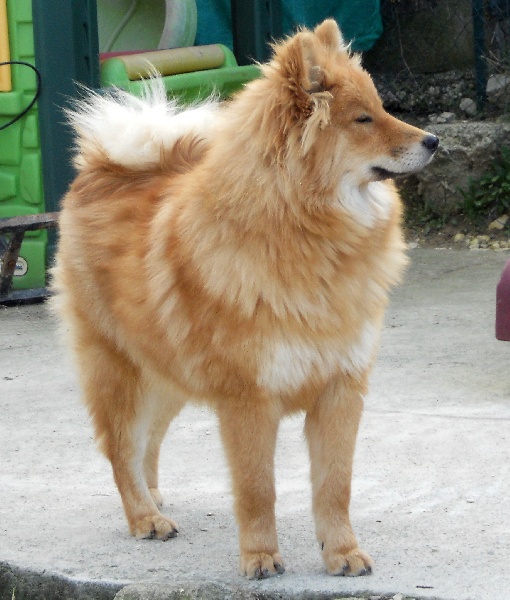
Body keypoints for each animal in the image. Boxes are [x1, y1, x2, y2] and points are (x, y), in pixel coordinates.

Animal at [52, 19, 438, 579]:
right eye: (363, 119)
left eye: (381, 109)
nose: (434, 140)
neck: (304, 229)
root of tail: (100, 169)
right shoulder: (249, 399)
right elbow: (258, 489)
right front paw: (260, 556)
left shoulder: (340, 389)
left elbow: (334, 486)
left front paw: (342, 553)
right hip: (119, 370)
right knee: (122, 448)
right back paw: (144, 516)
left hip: (168, 372)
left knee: (149, 441)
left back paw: (154, 497)